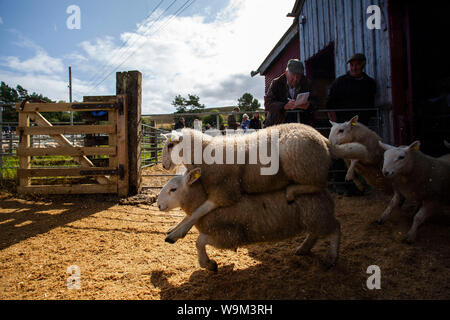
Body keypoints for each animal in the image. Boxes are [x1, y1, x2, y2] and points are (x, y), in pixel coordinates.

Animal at [156, 169, 340, 272]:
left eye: (173, 189)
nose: (158, 205)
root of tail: (323, 189)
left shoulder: (228, 235)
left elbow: (199, 241)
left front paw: (209, 264)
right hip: (314, 217)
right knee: (315, 234)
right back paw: (303, 248)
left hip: (318, 215)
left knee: (336, 228)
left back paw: (331, 257)